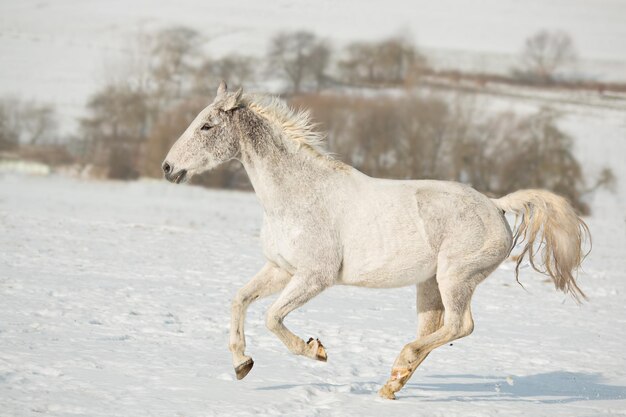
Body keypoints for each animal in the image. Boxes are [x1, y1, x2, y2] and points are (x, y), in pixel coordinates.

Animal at [160, 83, 584, 398]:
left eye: (206, 126)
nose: (168, 168)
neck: (297, 194)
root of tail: (496, 206)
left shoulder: (314, 276)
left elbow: (271, 317)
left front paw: (316, 350)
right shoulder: (281, 269)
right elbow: (240, 300)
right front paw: (241, 365)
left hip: (456, 277)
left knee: (460, 326)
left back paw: (398, 366)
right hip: (430, 284)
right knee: (434, 330)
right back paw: (392, 384)